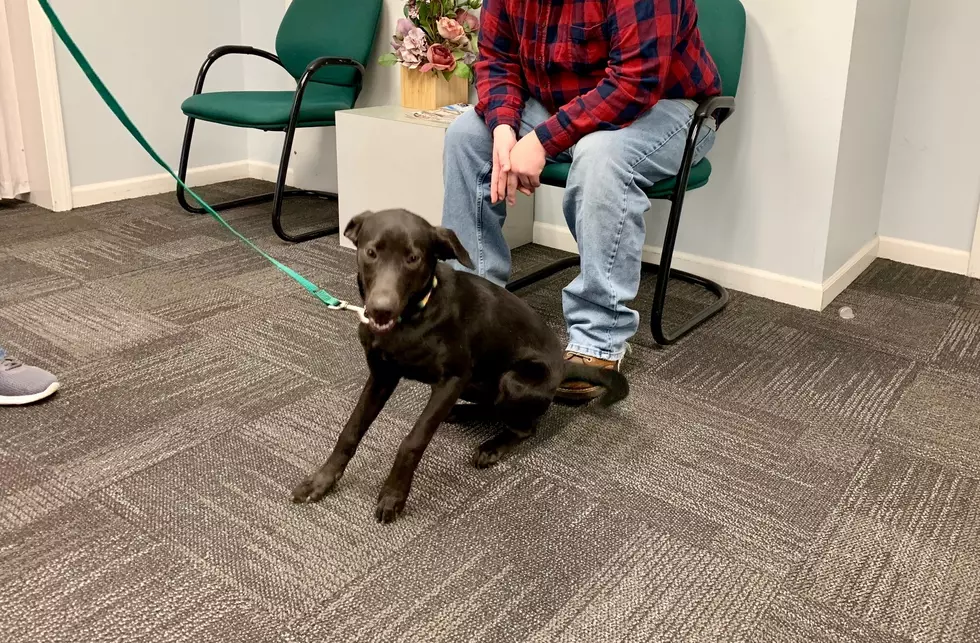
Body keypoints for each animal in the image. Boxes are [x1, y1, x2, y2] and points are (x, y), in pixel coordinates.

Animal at [290, 210, 628, 524]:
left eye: (413, 258)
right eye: (371, 252)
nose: (380, 310)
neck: (413, 317)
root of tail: (561, 366)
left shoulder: (452, 378)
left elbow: (412, 441)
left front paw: (393, 495)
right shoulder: (382, 376)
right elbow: (350, 430)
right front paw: (322, 480)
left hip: (512, 381)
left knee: (525, 426)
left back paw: (492, 446)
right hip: (477, 385)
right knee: (491, 407)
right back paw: (460, 413)